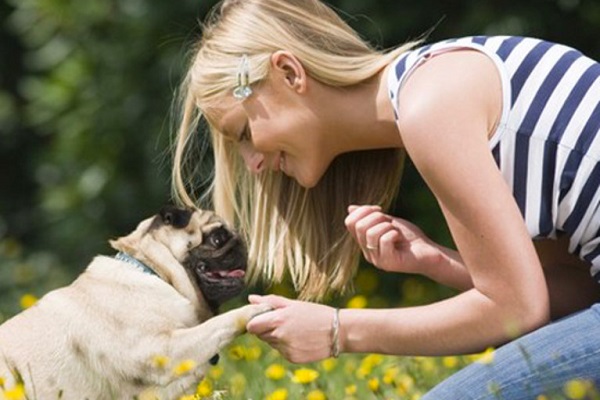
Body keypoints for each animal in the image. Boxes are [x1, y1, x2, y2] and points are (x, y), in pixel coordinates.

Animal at [0, 206, 270, 400]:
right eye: (218, 238)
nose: (241, 242)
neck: (153, 271)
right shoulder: (166, 349)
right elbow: (223, 321)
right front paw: (259, 308)